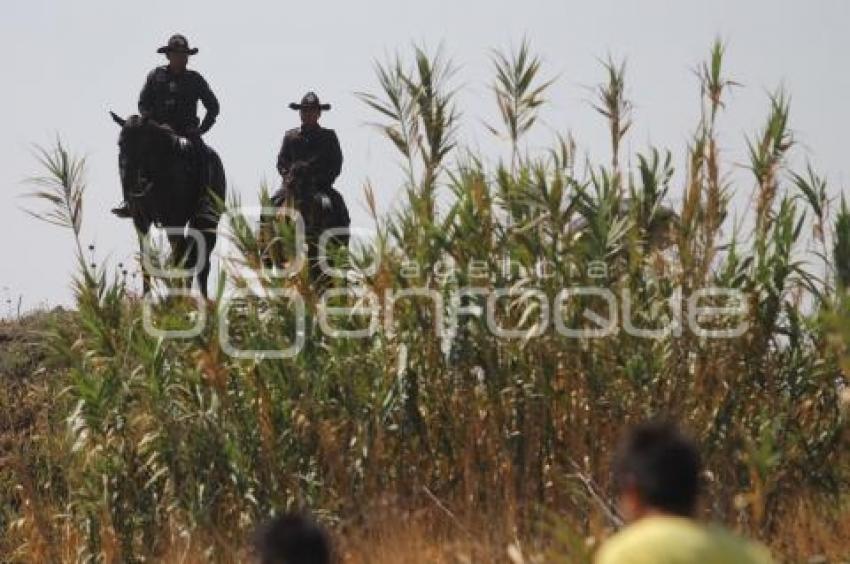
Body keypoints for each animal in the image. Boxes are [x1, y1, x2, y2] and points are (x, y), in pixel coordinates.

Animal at [109, 109, 225, 296]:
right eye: (120, 143)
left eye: (141, 144)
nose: (129, 180)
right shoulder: (141, 222)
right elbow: (146, 260)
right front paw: (146, 298)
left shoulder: (174, 221)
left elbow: (179, 259)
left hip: (207, 223)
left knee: (200, 263)